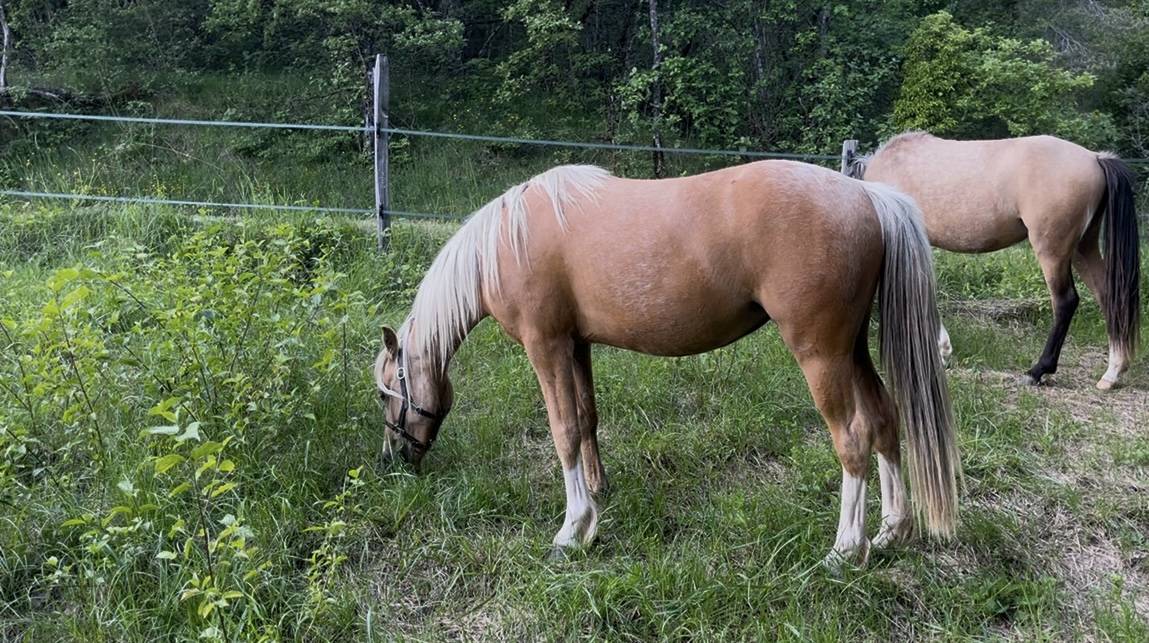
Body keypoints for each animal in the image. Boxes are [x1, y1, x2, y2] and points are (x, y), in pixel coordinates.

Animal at [372, 161, 960, 567]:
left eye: (384, 392)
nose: (392, 461)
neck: (504, 242)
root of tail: (868, 195)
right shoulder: (576, 345)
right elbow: (586, 418)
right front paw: (597, 494)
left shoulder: (546, 346)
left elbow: (563, 431)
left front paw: (572, 529)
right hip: (852, 349)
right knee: (885, 420)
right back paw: (890, 531)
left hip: (821, 354)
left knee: (854, 438)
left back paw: (845, 548)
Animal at [847, 132, 1140, 390]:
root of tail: (1095, 157)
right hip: (1083, 247)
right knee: (1108, 295)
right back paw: (1113, 372)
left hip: (1053, 251)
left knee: (1065, 302)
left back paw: (1037, 371)